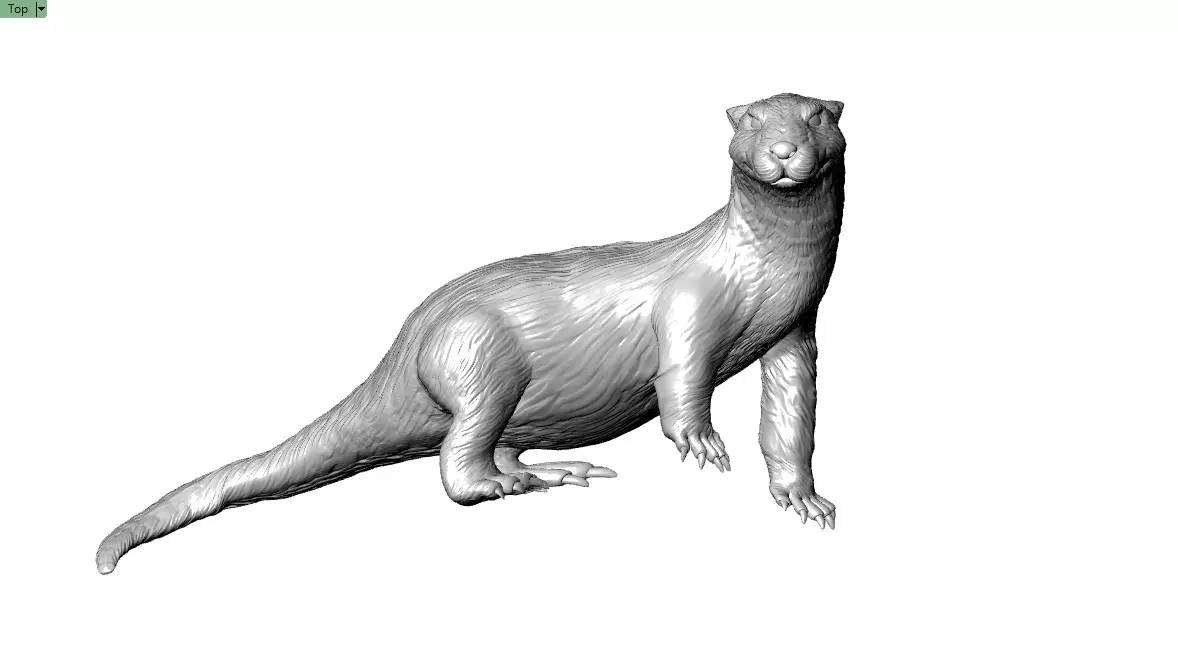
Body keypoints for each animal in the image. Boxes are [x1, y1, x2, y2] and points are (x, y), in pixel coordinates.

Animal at [96, 92, 847, 574]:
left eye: (815, 116)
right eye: (753, 122)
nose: (784, 150)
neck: (759, 269)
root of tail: (403, 347)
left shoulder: (795, 328)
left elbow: (792, 414)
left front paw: (802, 497)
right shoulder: (689, 302)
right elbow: (681, 374)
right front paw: (699, 440)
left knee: (494, 448)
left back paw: (544, 471)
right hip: (476, 356)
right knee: (457, 466)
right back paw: (517, 485)